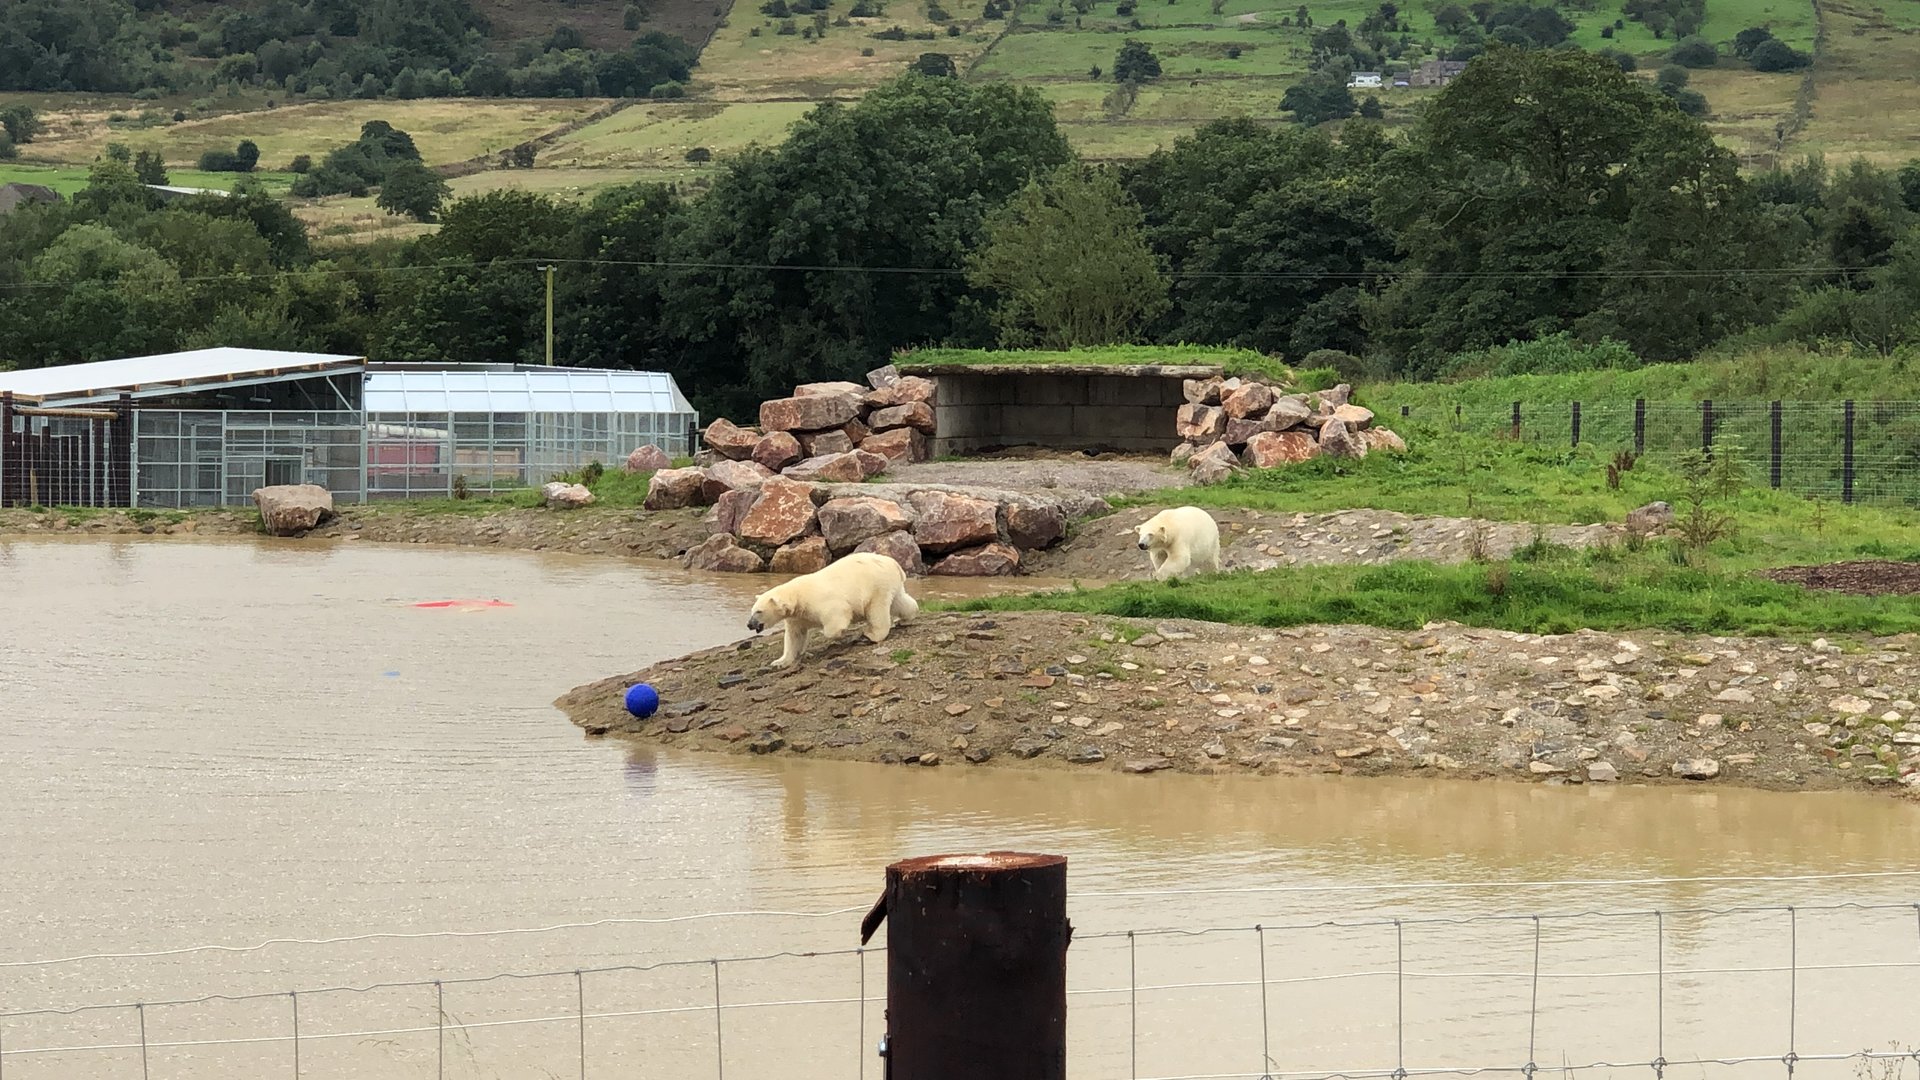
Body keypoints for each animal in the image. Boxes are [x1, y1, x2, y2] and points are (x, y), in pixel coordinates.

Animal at [745, 551, 920, 668]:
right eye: (752, 610)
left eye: (758, 611)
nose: (749, 624)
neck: (797, 596)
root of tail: (894, 563)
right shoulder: (797, 617)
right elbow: (794, 636)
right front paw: (779, 662)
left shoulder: (821, 601)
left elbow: (837, 616)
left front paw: (837, 633)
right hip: (889, 584)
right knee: (900, 601)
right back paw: (906, 617)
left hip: (876, 586)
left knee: (877, 611)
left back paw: (870, 635)